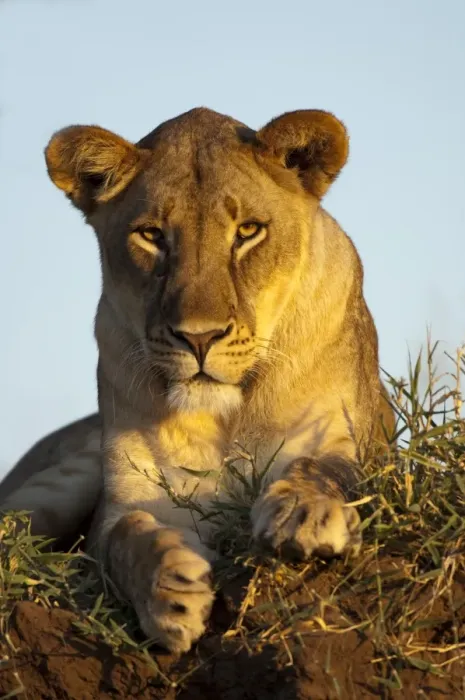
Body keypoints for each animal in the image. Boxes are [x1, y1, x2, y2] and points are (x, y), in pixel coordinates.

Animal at [0, 107, 394, 653]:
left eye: (248, 231)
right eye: (152, 235)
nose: (199, 337)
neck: (221, 418)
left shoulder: (352, 443)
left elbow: (323, 468)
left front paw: (304, 514)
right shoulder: (125, 496)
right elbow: (124, 538)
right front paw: (171, 589)